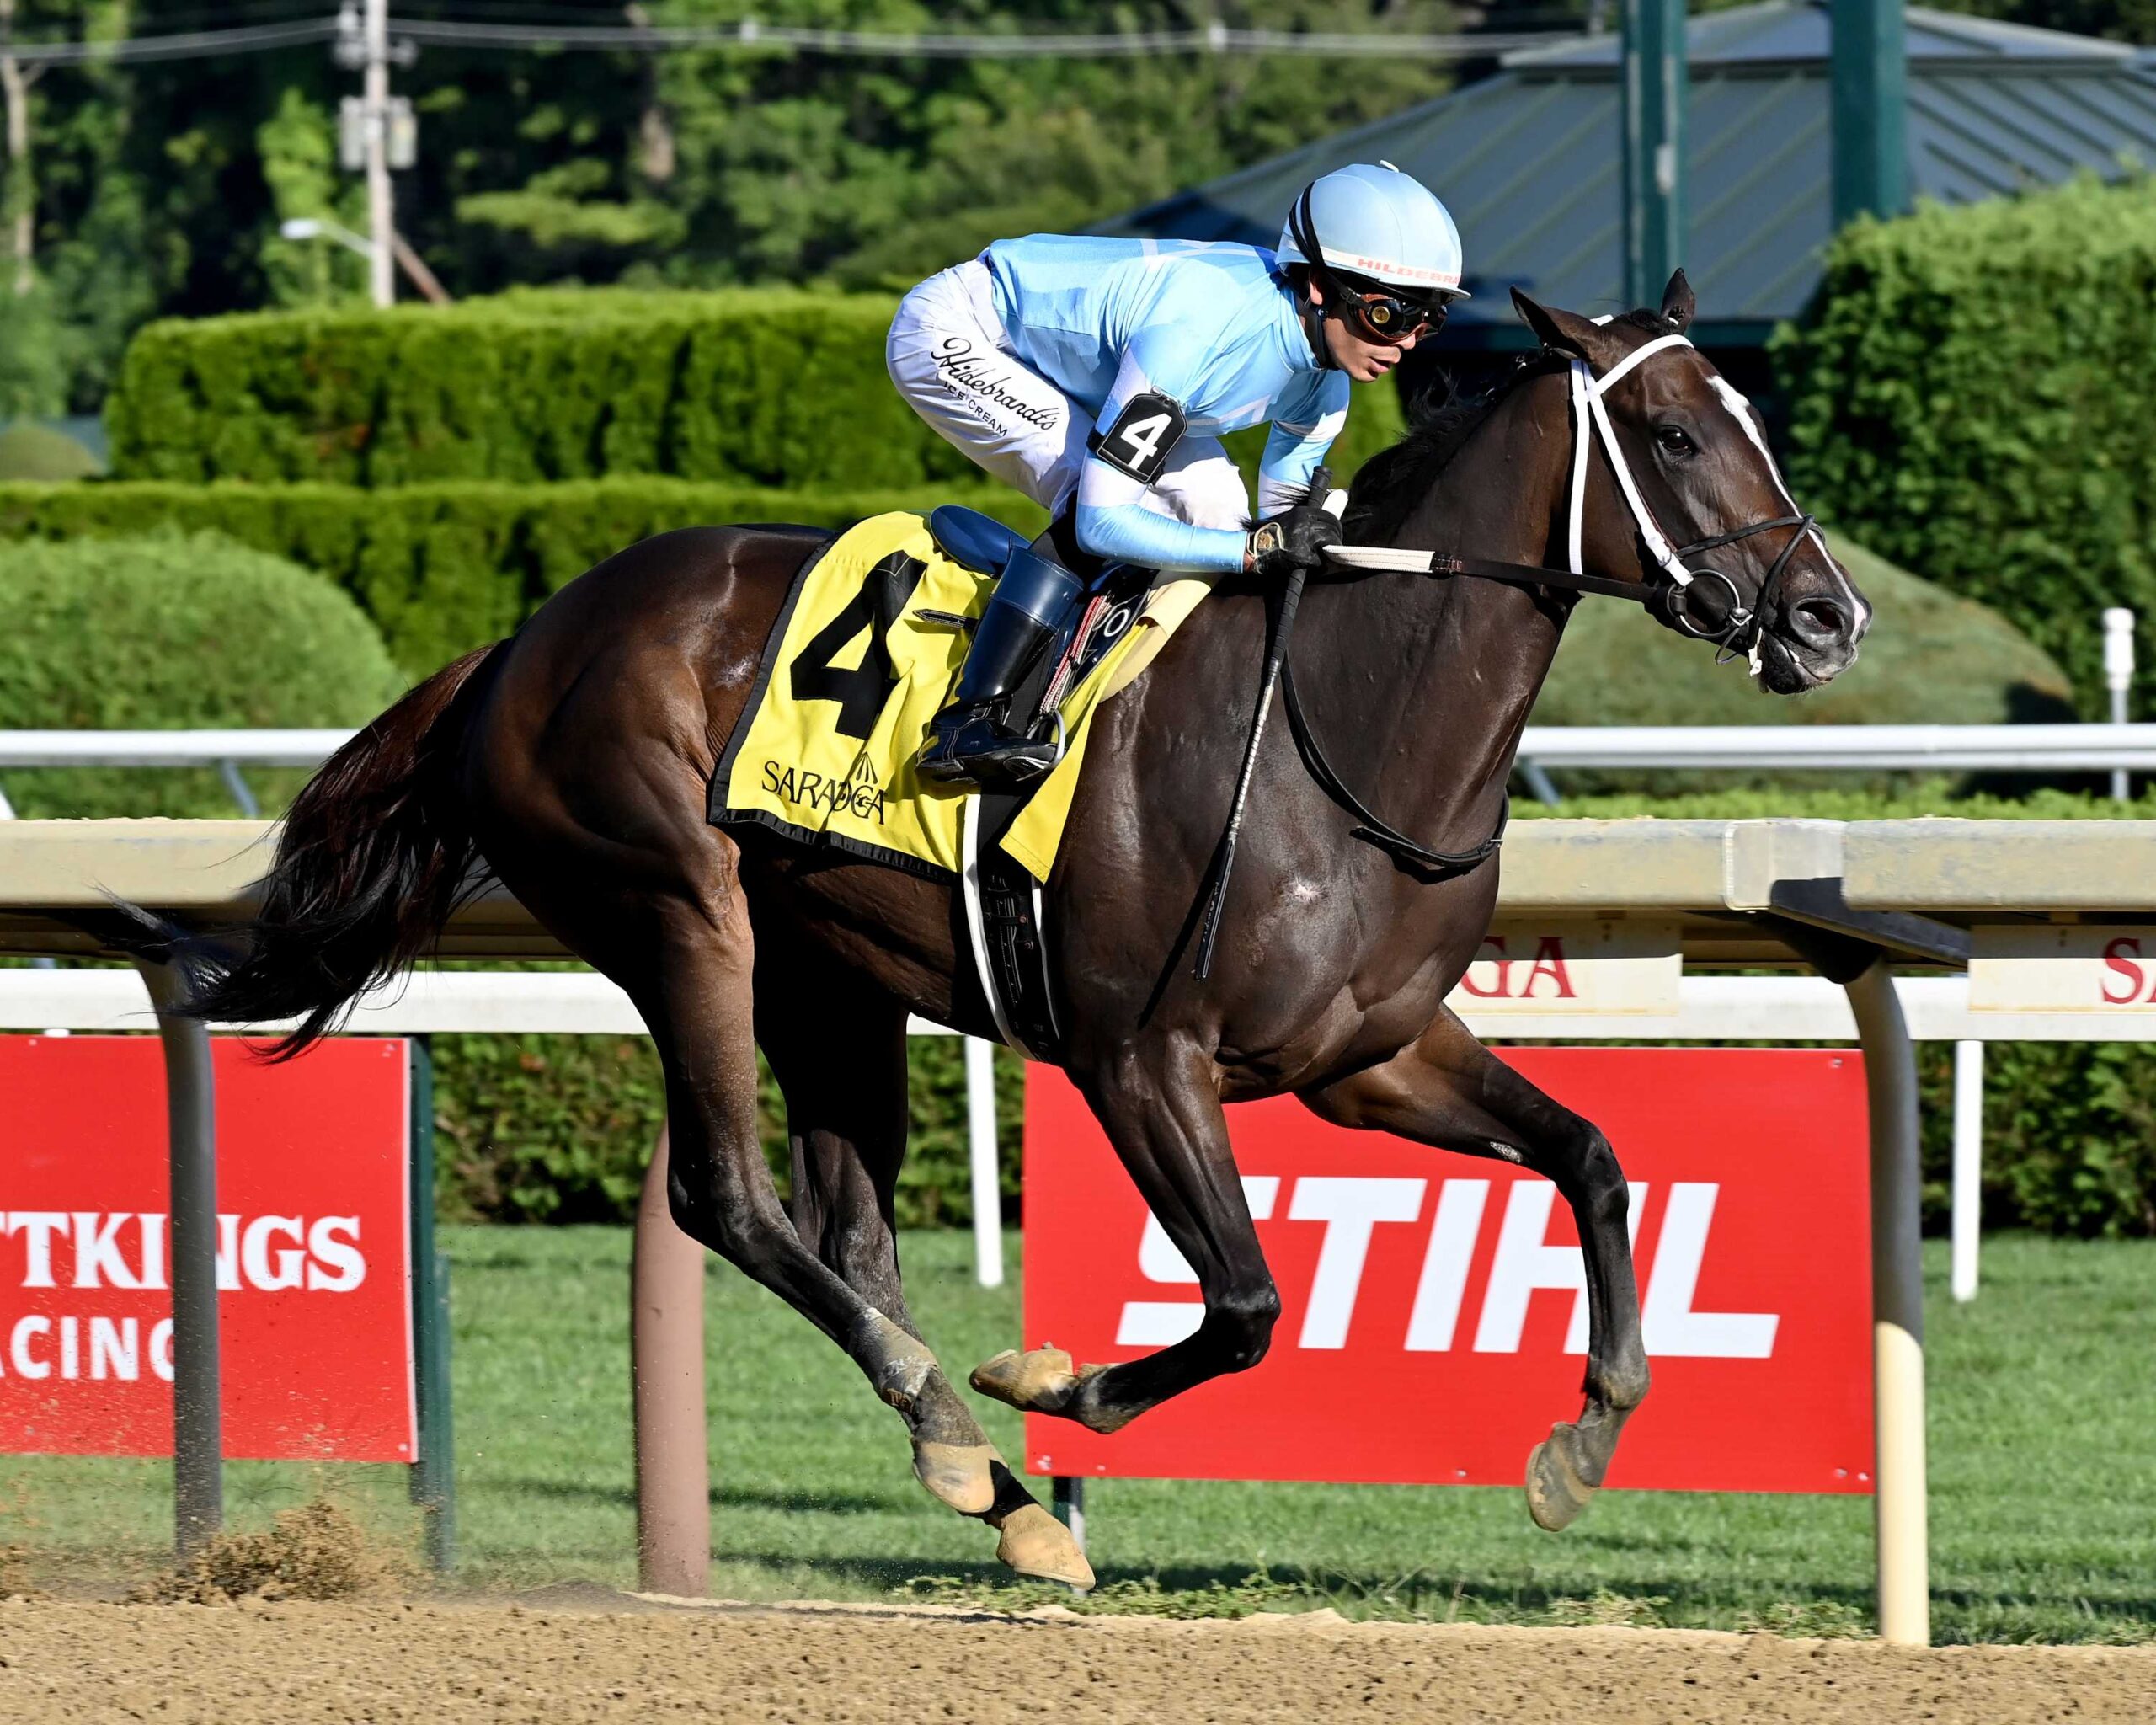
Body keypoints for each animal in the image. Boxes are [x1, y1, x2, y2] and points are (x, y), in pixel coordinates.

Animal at [161, 273, 1867, 1587]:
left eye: (1761, 422)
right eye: (1672, 433)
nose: (1827, 616)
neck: (1342, 728)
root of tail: (523, 638)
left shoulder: (1369, 1058)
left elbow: (1592, 1154)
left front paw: (1583, 1437)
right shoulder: (1140, 1056)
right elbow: (1247, 1304)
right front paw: (1056, 1375)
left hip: (828, 973)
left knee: (846, 1231)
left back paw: (986, 1483)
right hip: (676, 910)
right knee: (728, 1198)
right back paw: (957, 1417)